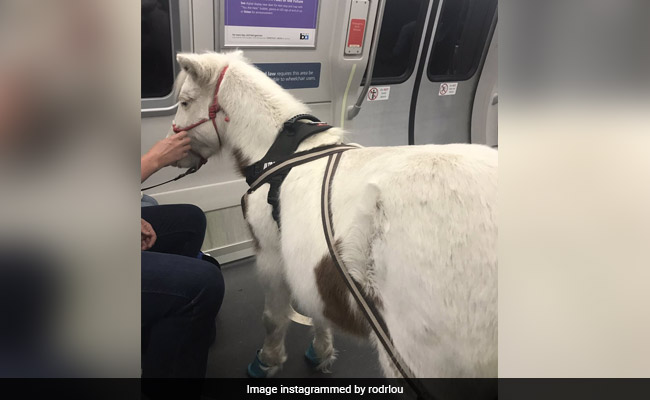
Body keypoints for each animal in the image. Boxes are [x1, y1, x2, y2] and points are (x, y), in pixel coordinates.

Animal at [169, 51, 497, 379]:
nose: (175, 151)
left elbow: (273, 317)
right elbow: (318, 310)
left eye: (185, 102)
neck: (282, 151)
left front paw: (267, 360)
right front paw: (321, 350)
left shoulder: (270, 256)